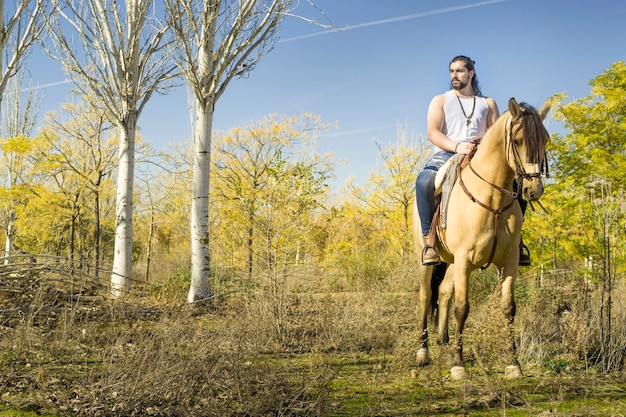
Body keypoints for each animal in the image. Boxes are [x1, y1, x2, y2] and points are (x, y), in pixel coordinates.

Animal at [410, 96, 552, 376]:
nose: (533, 190)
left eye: (545, 140)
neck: (493, 199)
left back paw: (444, 341)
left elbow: (508, 308)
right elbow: (462, 308)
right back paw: (423, 352)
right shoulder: (465, 259)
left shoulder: (509, 261)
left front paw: (513, 364)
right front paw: (458, 364)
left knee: (443, 291)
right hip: (428, 260)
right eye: (517, 140)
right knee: (425, 296)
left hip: (452, 262)